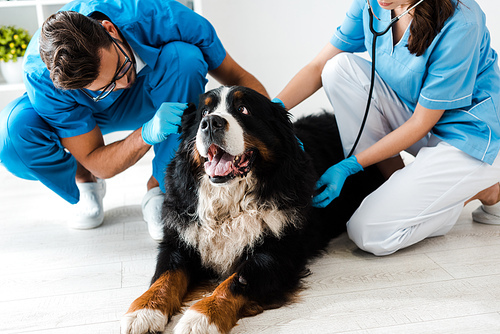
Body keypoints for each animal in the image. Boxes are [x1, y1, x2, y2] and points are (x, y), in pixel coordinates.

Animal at [120, 87, 382, 334]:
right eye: (204, 113)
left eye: (243, 109)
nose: (211, 123)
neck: (228, 205)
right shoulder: (180, 240)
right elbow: (166, 276)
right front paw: (143, 311)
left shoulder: (276, 253)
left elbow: (237, 281)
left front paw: (202, 317)